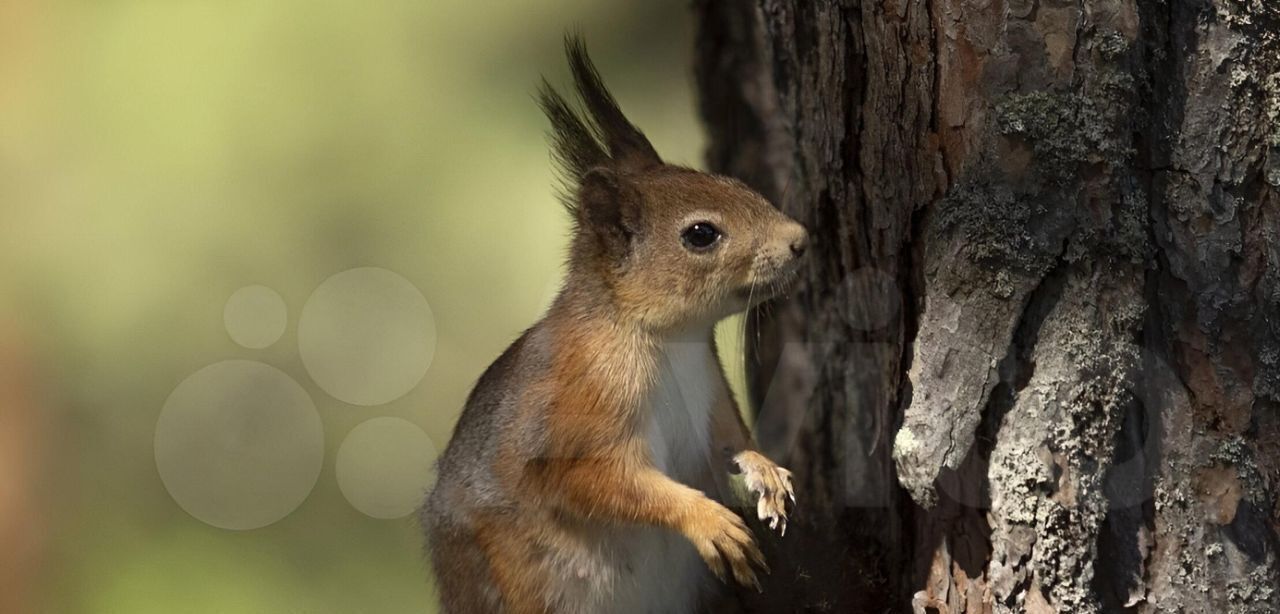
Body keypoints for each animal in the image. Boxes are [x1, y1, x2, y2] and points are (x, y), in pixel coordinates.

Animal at [422, 35, 808, 611]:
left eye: (731, 180)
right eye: (700, 234)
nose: (800, 239)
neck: (668, 340)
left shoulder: (712, 391)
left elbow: (731, 439)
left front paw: (765, 470)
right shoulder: (578, 406)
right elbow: (603, 481)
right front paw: (708, 520)